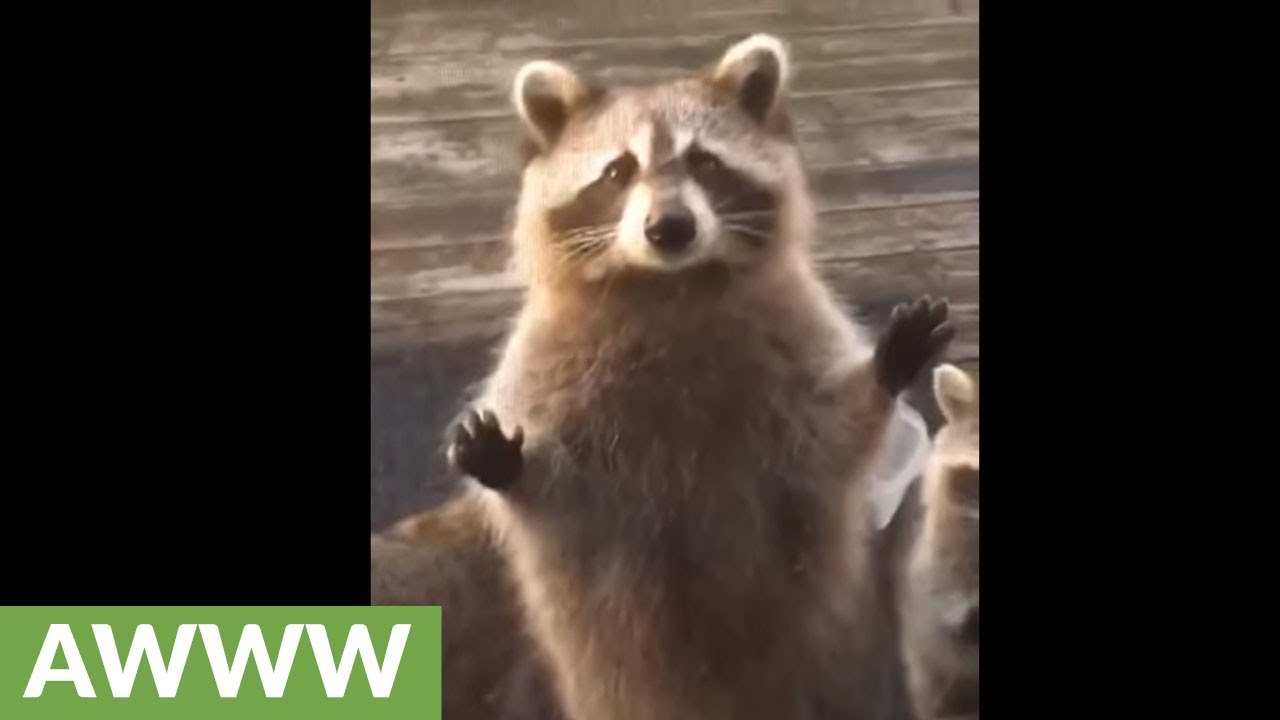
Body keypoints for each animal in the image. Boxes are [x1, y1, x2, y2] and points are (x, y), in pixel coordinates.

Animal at [447, 34, 955, 720]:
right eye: (618, 172)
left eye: (705, 162)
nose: (670, 228)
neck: (672, 287)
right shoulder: (549, 362)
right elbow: (561, 497)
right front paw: (512, 465)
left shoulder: (790, 338)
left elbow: (829, 434)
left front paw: (882, 371)